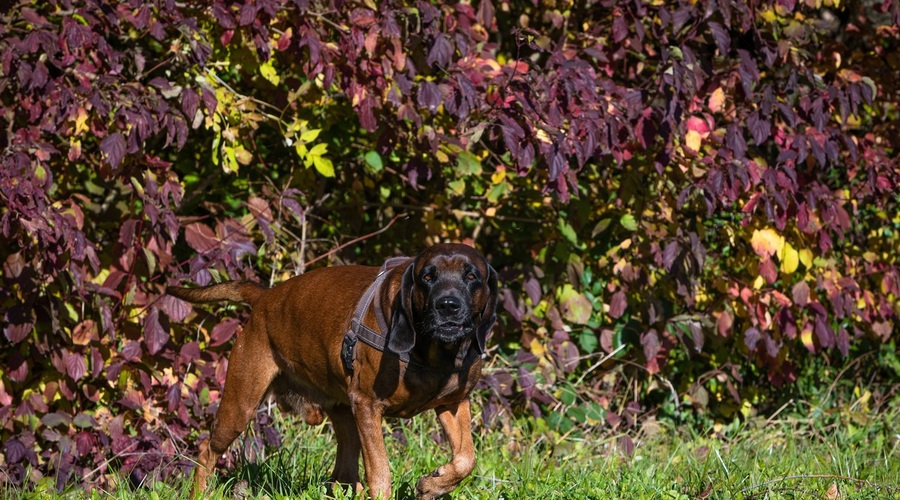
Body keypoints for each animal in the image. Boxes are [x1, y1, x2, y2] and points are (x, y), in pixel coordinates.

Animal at [165, 242, 496, 496]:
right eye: (428, 276)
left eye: (471, 275)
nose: (448, 305)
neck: (434, 354)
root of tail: (265, 297)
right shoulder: (367, 405)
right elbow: (380, 474)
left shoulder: (453, 403)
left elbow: (467, 458)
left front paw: (434, 485)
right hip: (241, 403)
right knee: (207, 449)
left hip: (344, 413)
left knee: (343, 475)